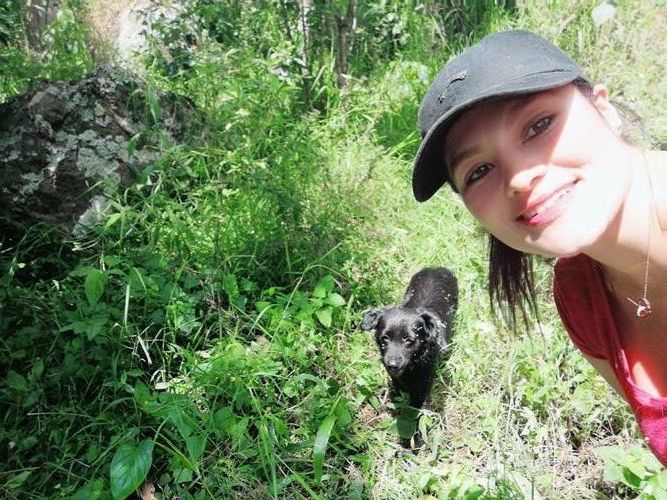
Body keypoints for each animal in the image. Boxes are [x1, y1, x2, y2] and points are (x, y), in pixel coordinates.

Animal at [360, 267, 458, 409]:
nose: (392, 365)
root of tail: (437, 267)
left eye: (409, 340)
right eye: (385, 338)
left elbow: (420, 398)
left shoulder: (426, 375)